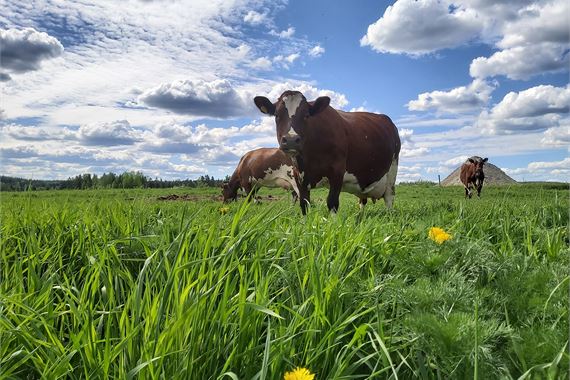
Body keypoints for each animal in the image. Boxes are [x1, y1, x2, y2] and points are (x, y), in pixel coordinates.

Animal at [253, 89, 400, 214]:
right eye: (277, 116)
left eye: (306, 115)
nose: (291, 140)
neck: (309, 159)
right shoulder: (298, 175)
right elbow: (304, 204)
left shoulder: (337, 171)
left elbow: (332, 202)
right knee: (362, 200)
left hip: (392, 169)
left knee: (389, 197)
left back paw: (389, 216)